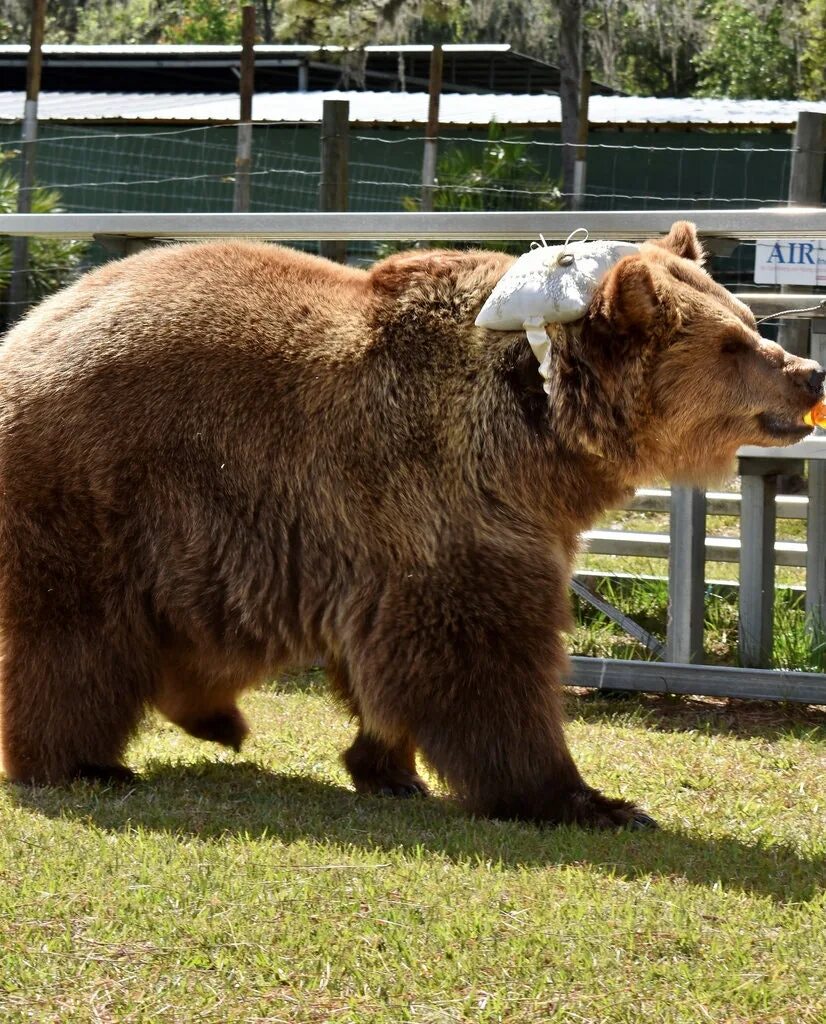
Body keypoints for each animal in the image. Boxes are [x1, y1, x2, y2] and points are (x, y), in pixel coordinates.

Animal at [0, 220, 818, 827]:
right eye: (732, 344)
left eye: (751, 322)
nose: (809, 374)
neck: (539, 431)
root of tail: (30, 326)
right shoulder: (444, 502)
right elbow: (484, 661)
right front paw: (588, 800)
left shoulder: (418, 536)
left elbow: (396, 662)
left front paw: (388, 767)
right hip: (100, 490)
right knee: (78, 634)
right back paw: (80, 761)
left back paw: (213, 719)